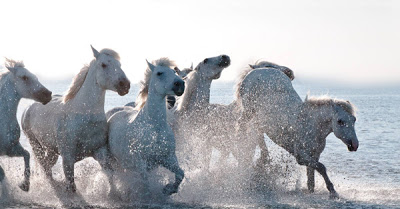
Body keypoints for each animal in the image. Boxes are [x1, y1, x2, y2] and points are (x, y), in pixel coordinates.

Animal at [0, 57, 51, 191]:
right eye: (24, 77)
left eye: (35, 76)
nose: (48, 94)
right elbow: (2, 174)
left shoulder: (11, 149)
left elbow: (27, 155)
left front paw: (25, 185)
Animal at [21, 46, 130, 193]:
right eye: (104, 64)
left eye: (119, 64)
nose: (125, 85)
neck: (84, 116)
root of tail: (29, 107)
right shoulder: (68, 158)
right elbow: (71, 185)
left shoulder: (101, 152)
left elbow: (111, 177)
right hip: (35, 144)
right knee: (45, 167)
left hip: (52, 149)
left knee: (48, 166)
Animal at [108, 58, 186, 195]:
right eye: (159, 73)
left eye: (173, 71)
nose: (180, 84)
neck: (155, 127)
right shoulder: (140, 164)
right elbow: (145, 184)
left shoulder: (168, 158)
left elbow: (180, 174)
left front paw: (168, 189)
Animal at [236, 68, 358, 198]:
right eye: (340, 121)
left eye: (354, 120)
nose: (354, 145)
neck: (310, 125)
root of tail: (256, 70)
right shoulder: (301, 156)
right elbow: (321, 167)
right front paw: (333, 192)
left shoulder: (314, 155)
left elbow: (311, 178)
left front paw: (313, 191)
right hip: (248, 112)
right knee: (242, 127)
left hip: (260, 120)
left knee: (259, 134)